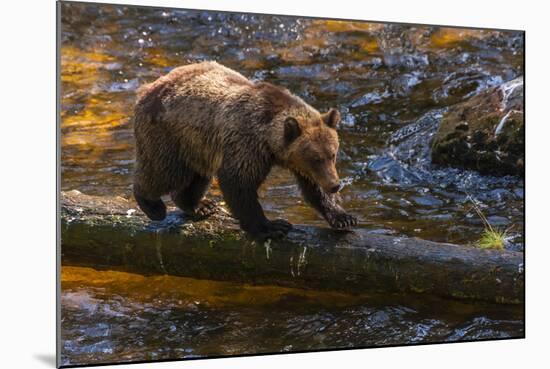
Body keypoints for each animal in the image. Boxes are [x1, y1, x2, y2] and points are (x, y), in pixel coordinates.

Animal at [134, 61, 358, 237]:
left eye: (333, 155)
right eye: (315, 158)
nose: (335, 185)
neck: (269, 141)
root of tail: (146, 88)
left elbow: (313, 188)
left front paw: (344, 217)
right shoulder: (246, 142)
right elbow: (239, 183)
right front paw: (272, 226)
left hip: (198, 146)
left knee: (198, 175)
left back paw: (200, 205)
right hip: (169, 134)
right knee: (164, 172)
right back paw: (152, 205)